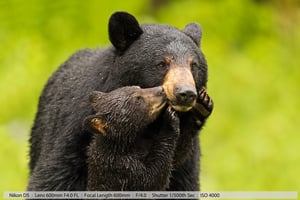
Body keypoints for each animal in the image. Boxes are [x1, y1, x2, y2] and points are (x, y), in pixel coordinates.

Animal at [27, 11, 213, 191]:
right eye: (161, 64)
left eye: (194, 65)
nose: (186, 93)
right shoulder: (75, 134)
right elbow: (54, 177)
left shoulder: (185, 165)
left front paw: (200, 108)